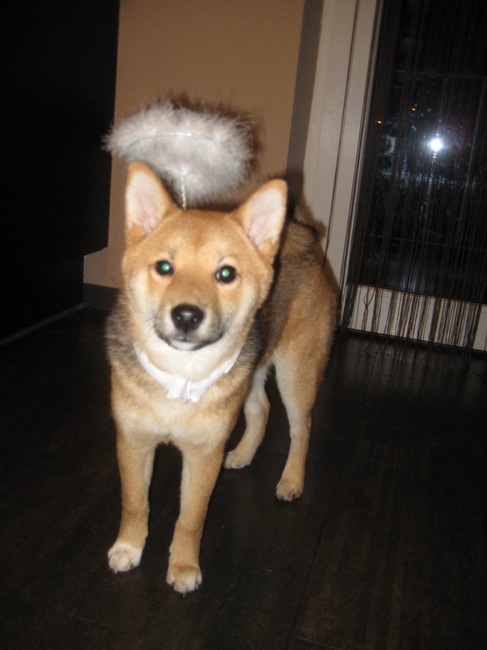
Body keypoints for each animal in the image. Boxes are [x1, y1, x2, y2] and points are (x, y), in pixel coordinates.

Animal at [106, 161, 335, 594]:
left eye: (226, 273)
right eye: (164, 267)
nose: (186, 315)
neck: (180, 374)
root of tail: (299, 233)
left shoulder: (203, 453)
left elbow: (191, 519)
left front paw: (182, 566)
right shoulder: (133, 441)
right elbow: (134, 502)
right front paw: (129, 546)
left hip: (296, 373)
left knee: (302, 428)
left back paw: (291, 481)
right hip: (251, 372)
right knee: (261, 410)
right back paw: (243, 455)